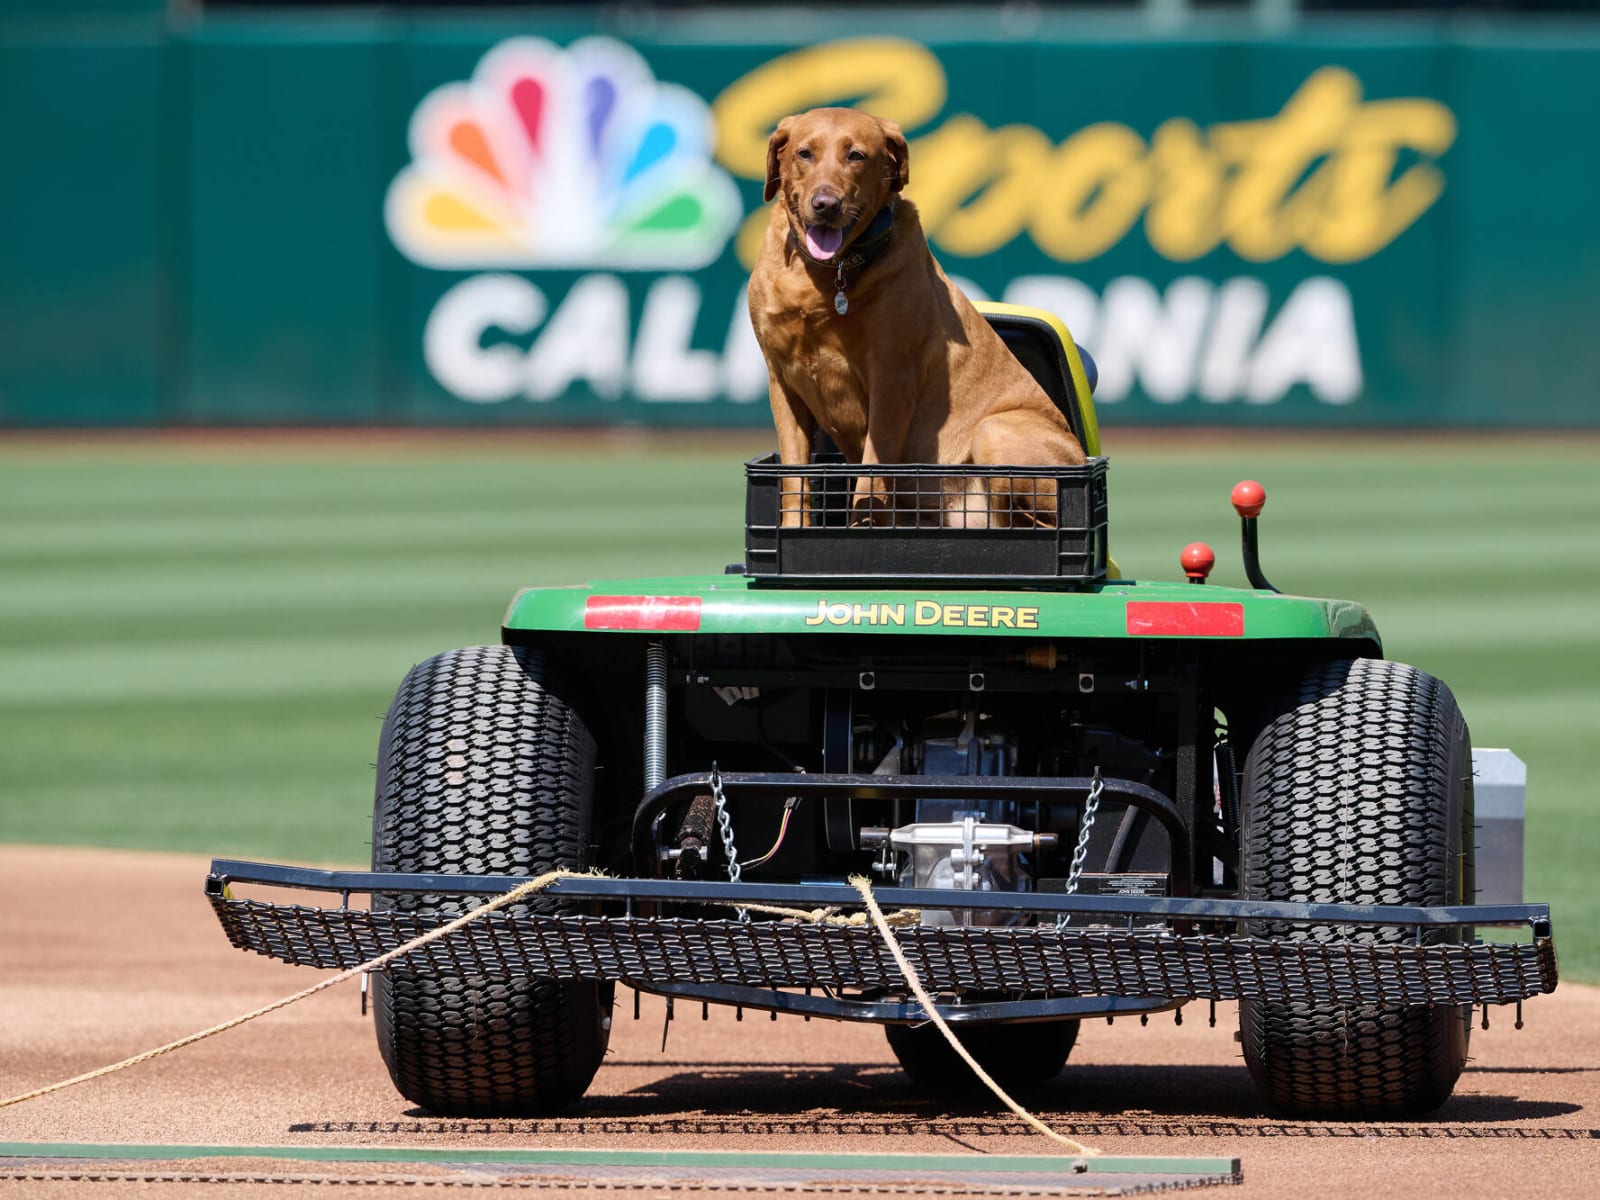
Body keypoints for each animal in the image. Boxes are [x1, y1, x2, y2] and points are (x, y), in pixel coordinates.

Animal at [748, 105, 1088, 528]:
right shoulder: (783, 382)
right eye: (804, 153)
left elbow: (870, 479)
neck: (831, 274)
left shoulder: (891, 379)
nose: (826, 204)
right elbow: (795, 481)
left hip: (994, 431)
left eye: (856, 155)